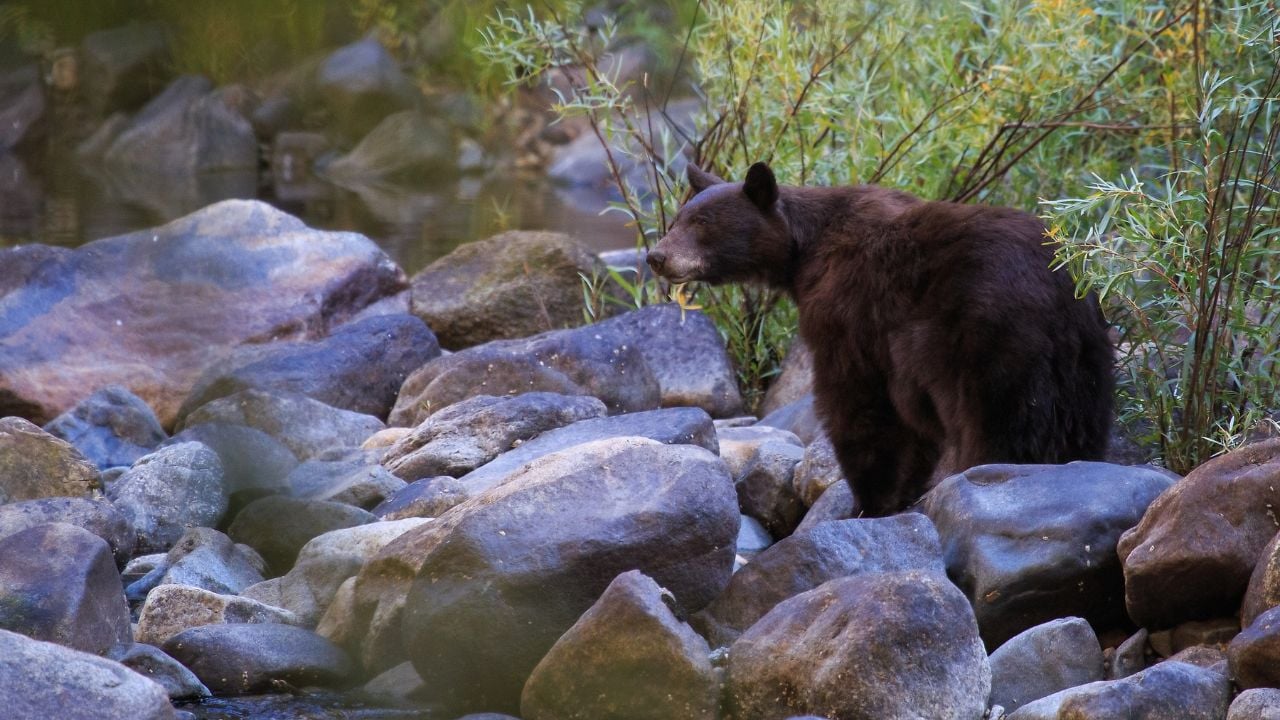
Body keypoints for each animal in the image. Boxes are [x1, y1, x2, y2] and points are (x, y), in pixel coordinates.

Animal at [647, 162, 1114, 516]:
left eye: (702, 223)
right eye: (678, 218)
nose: (656, 256)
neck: (805, 250)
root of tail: (1055, 291)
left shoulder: (849, 314)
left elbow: (858, 404)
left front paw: (869, 501)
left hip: (993, 343)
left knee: (998, 422)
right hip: (1084, 359)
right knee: (1079, 425)